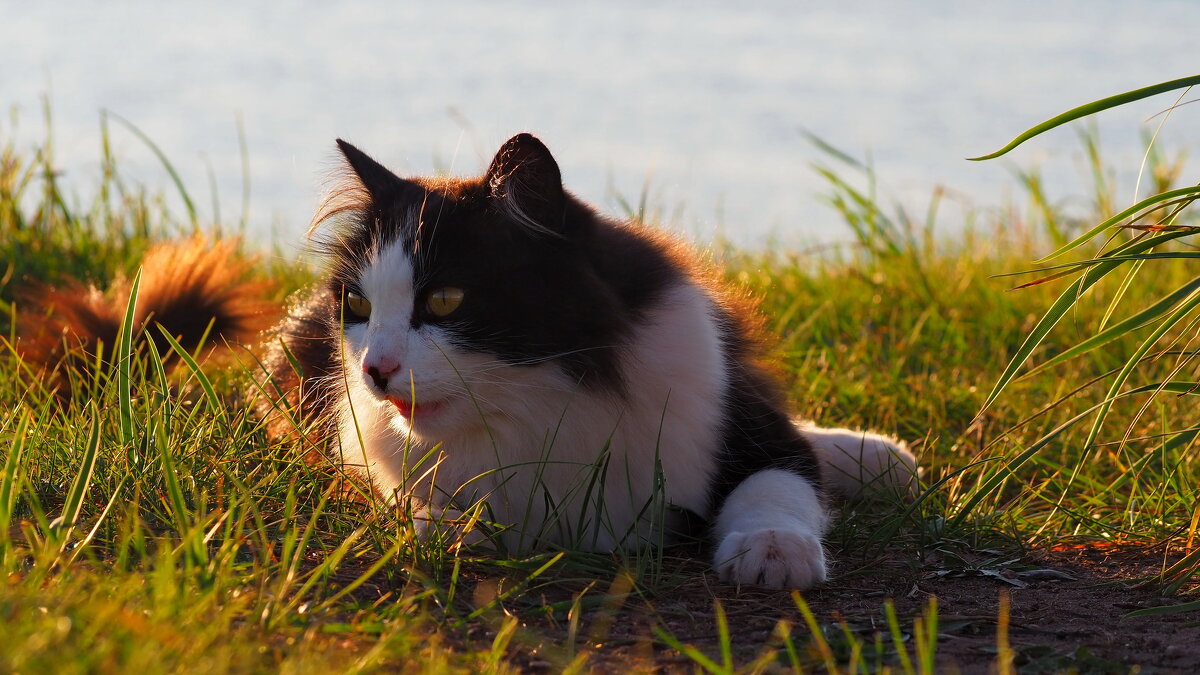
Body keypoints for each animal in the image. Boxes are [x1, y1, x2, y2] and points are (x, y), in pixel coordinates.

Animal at [258, 132, 916, 588]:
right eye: (359, 305)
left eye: (444, 301)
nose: (375, 370)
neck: (542, 406)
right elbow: (431, 508)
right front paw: (451, 531)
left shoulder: (739, 424)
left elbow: (779, 483)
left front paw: (776, 553)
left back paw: (882, 458)